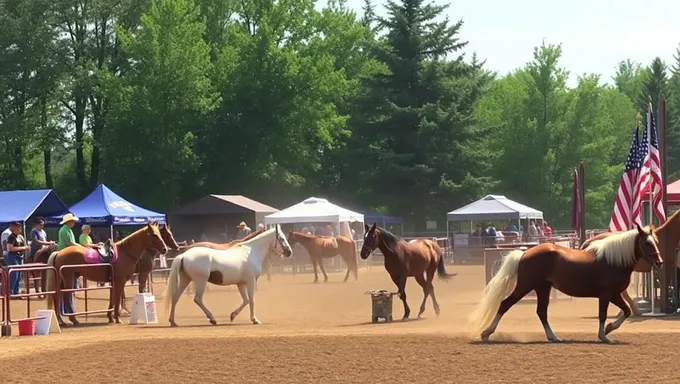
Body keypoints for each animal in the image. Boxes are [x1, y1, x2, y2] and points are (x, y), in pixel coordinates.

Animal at [166, 225, 294, 328]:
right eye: (281, 238)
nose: (289, 252)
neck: (251, 252)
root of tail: (184, 255)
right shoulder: (251, 281)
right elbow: (251, 300)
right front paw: (255, 320)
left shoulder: (241, 283)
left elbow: (246, 300)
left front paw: (233, 315)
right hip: (200, 281)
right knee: (197, 299)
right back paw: (212, 319)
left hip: (186, 279)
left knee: (175, 297)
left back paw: (173, 322)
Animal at [470, 224, 660, 344]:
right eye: (646, 243)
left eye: (656, 242)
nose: (660, 262)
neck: (613, 260)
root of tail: (525, 253)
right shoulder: (606, 294)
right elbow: (603, 314)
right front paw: (604, 335)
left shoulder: (615, 294)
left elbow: (627, 311)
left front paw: (608, 329)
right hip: (525, 286)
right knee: (505, 304)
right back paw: (486, 333)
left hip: (543, 288)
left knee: (541, 312)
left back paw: (553, 337)